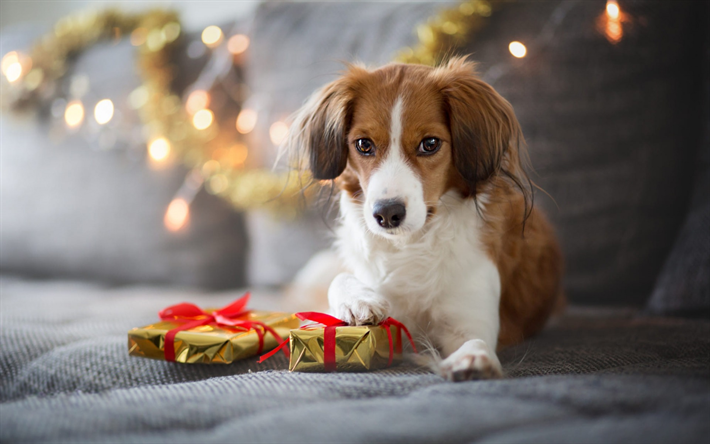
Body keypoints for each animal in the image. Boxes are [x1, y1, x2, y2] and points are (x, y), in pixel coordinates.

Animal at [286, 57, 564, 380]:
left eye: (430, 143)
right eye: (364, 144)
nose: (387, 213)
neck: (410, 246)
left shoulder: (469, 317)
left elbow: (476, 340)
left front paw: (474, 358)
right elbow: (340, 279)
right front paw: (359, 299)